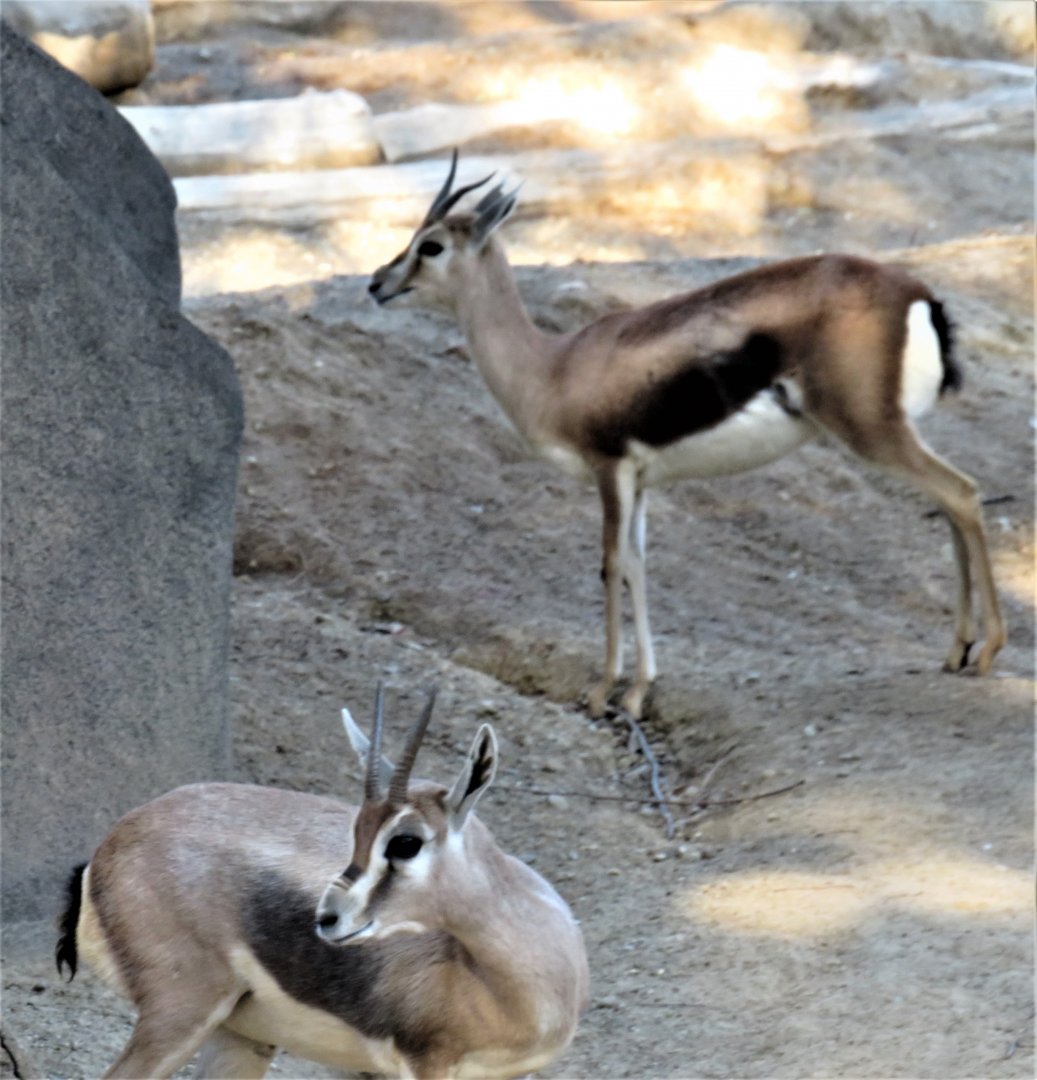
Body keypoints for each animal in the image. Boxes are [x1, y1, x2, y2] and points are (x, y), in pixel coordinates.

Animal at [55, 686, 589, 1079]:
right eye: (358, 830)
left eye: (405, 842)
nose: (328, 917)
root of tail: (112, 843)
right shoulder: (421, 1066)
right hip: (182, 1015)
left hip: (241, 1038)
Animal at [368, 151, 1005, 719]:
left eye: (431, 245)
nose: (376, 282)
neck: (553, 368)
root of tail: (919, 295)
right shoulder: (643, 481)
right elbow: (638, 565)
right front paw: (637, 691)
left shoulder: (610, 469)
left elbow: (611, 565)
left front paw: (602, 690)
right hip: (889, 432)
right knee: (950, 501)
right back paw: (956, 650)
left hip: (870, 432)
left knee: (962, 492)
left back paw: (986, 651)